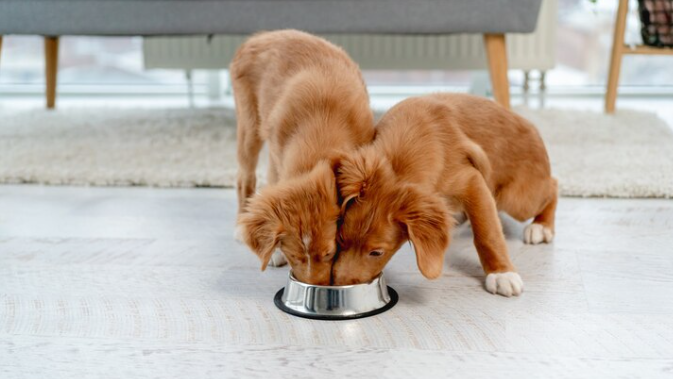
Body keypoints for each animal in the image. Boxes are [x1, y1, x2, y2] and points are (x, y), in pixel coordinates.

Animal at [232, 29, 376, 284]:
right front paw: (273, 252)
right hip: (250, 124)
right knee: (244, 178)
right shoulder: (277, 153)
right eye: (293, 256)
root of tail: (258, 37)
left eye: (330, 253)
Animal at [332, 93, 556, 296]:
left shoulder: (472, 181)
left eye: (376, 252)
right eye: (340, 239)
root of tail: (530, 126)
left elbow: (487, 233)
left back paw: (541, 226)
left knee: (552, 186)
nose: (338, 284)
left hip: (517, 199)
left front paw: (502, 273)